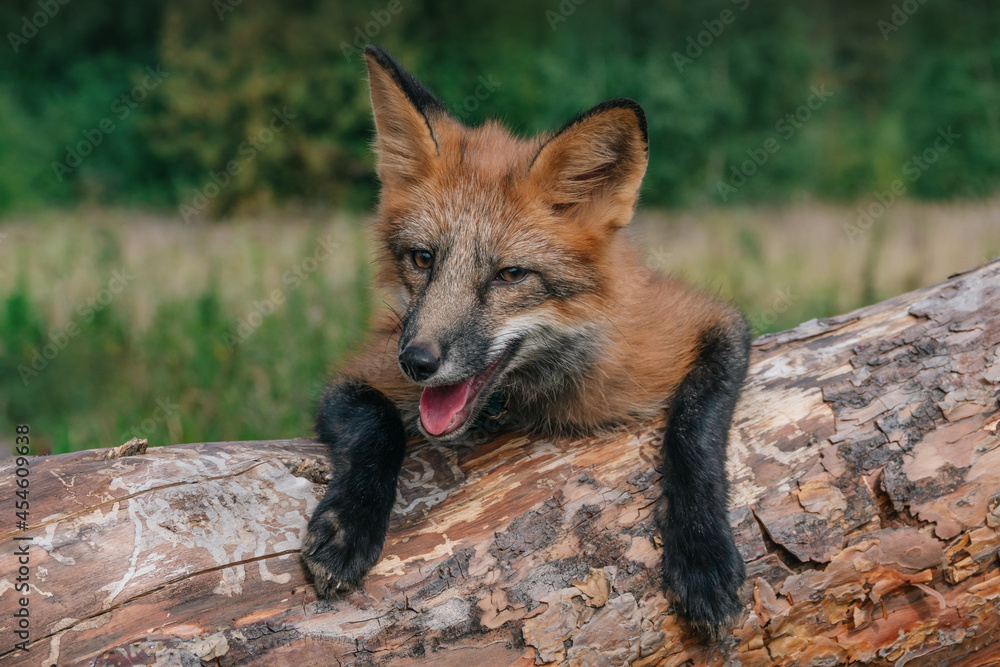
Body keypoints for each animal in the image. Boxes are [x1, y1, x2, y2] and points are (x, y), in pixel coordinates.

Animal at [302, 45, 751, 639]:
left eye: (510, 276)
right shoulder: (363, 367)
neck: (534, 396)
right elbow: (375, 423)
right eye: (422, 259)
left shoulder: (707, 323)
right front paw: (349, 524)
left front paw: (703, 553)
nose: (416, 362)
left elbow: (694, 427)